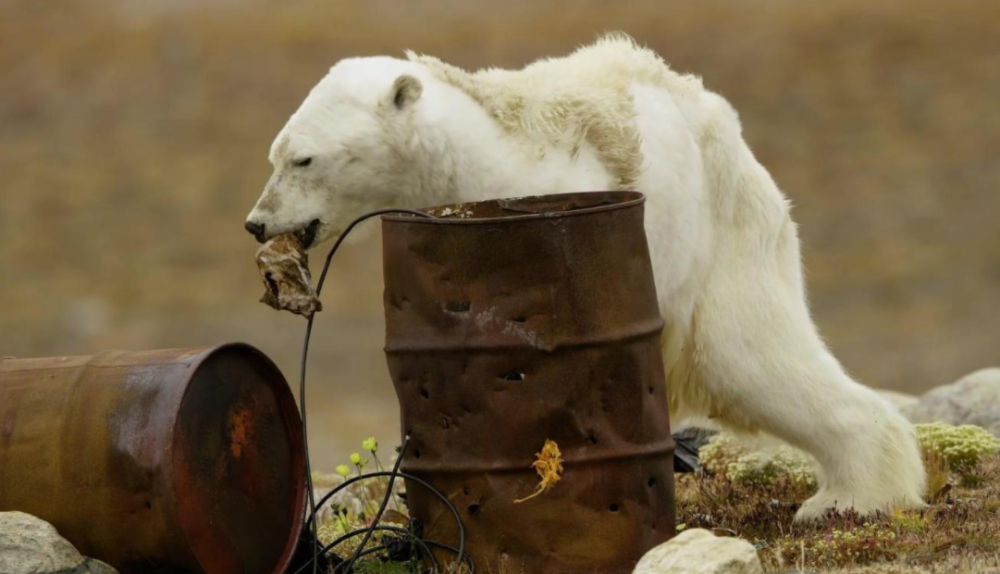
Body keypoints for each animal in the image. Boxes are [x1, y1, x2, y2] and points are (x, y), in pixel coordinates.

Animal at [248, 35, 928, 520]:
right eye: (275, 153)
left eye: (304, 158)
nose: (257, 223)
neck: (472, 160)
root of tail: (724, 125)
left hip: (720, 241)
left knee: (752, 357)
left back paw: (849, 496)